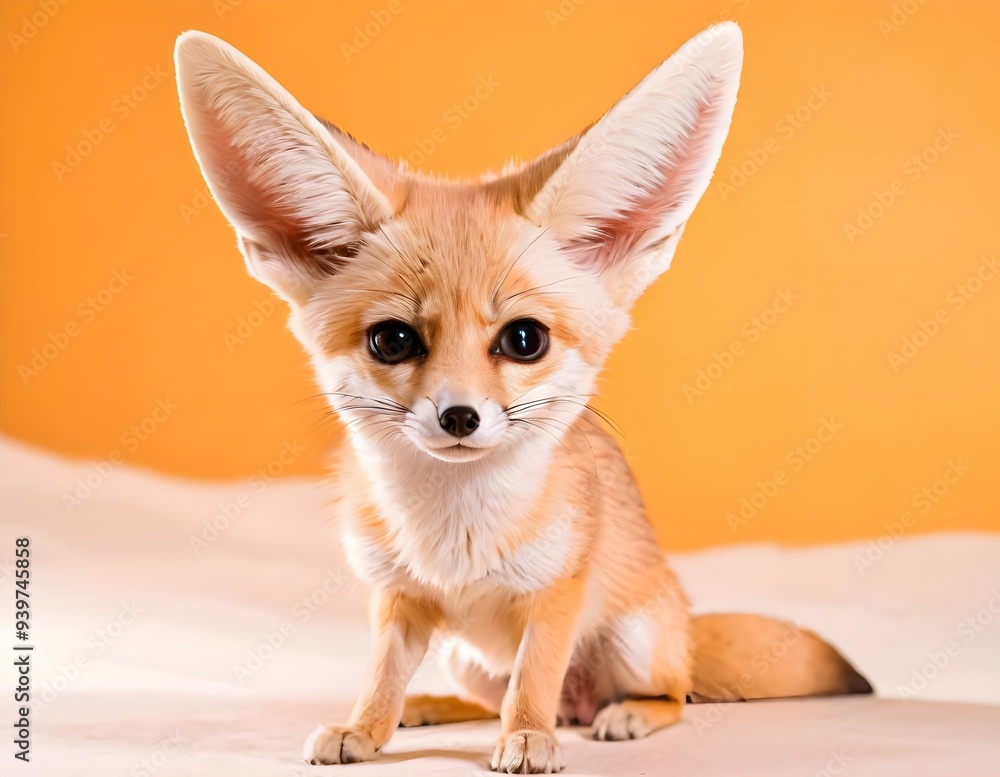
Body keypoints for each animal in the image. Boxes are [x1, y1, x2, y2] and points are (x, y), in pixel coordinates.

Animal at [175, 22, 872, 774]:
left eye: (524, 339)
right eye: (392, 340)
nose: (459, 415)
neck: (456, 537)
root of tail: (682, 621)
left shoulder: (555, 593)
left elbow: (533, 681)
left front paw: (527, 739)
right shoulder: (397, 597)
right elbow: (382, 678)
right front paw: (365, 729)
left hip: (634, 643)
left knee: (666, 696)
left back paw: (617, 715)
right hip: (463, 655)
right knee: (492, 697)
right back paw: (435, 709)